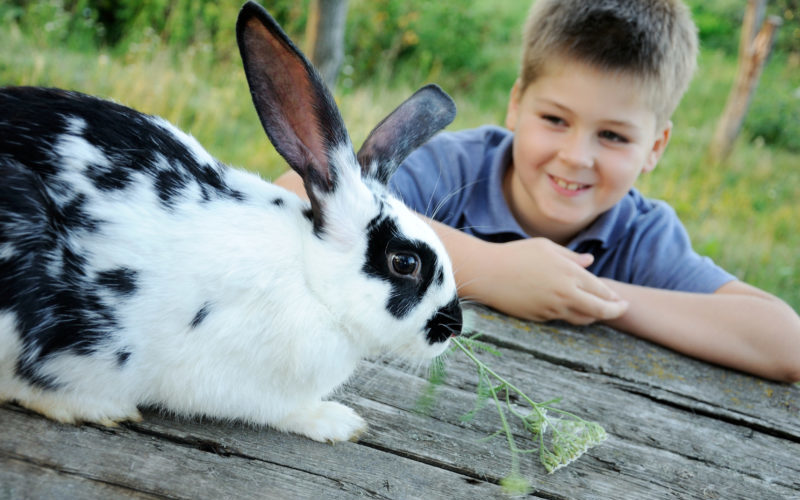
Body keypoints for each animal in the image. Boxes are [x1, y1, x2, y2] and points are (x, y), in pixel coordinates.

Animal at [0, 0, 462, 442]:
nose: (453, 325)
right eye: (404, 262)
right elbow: (284, 412)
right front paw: (338, 422)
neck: (310, 279)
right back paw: (95, 407)